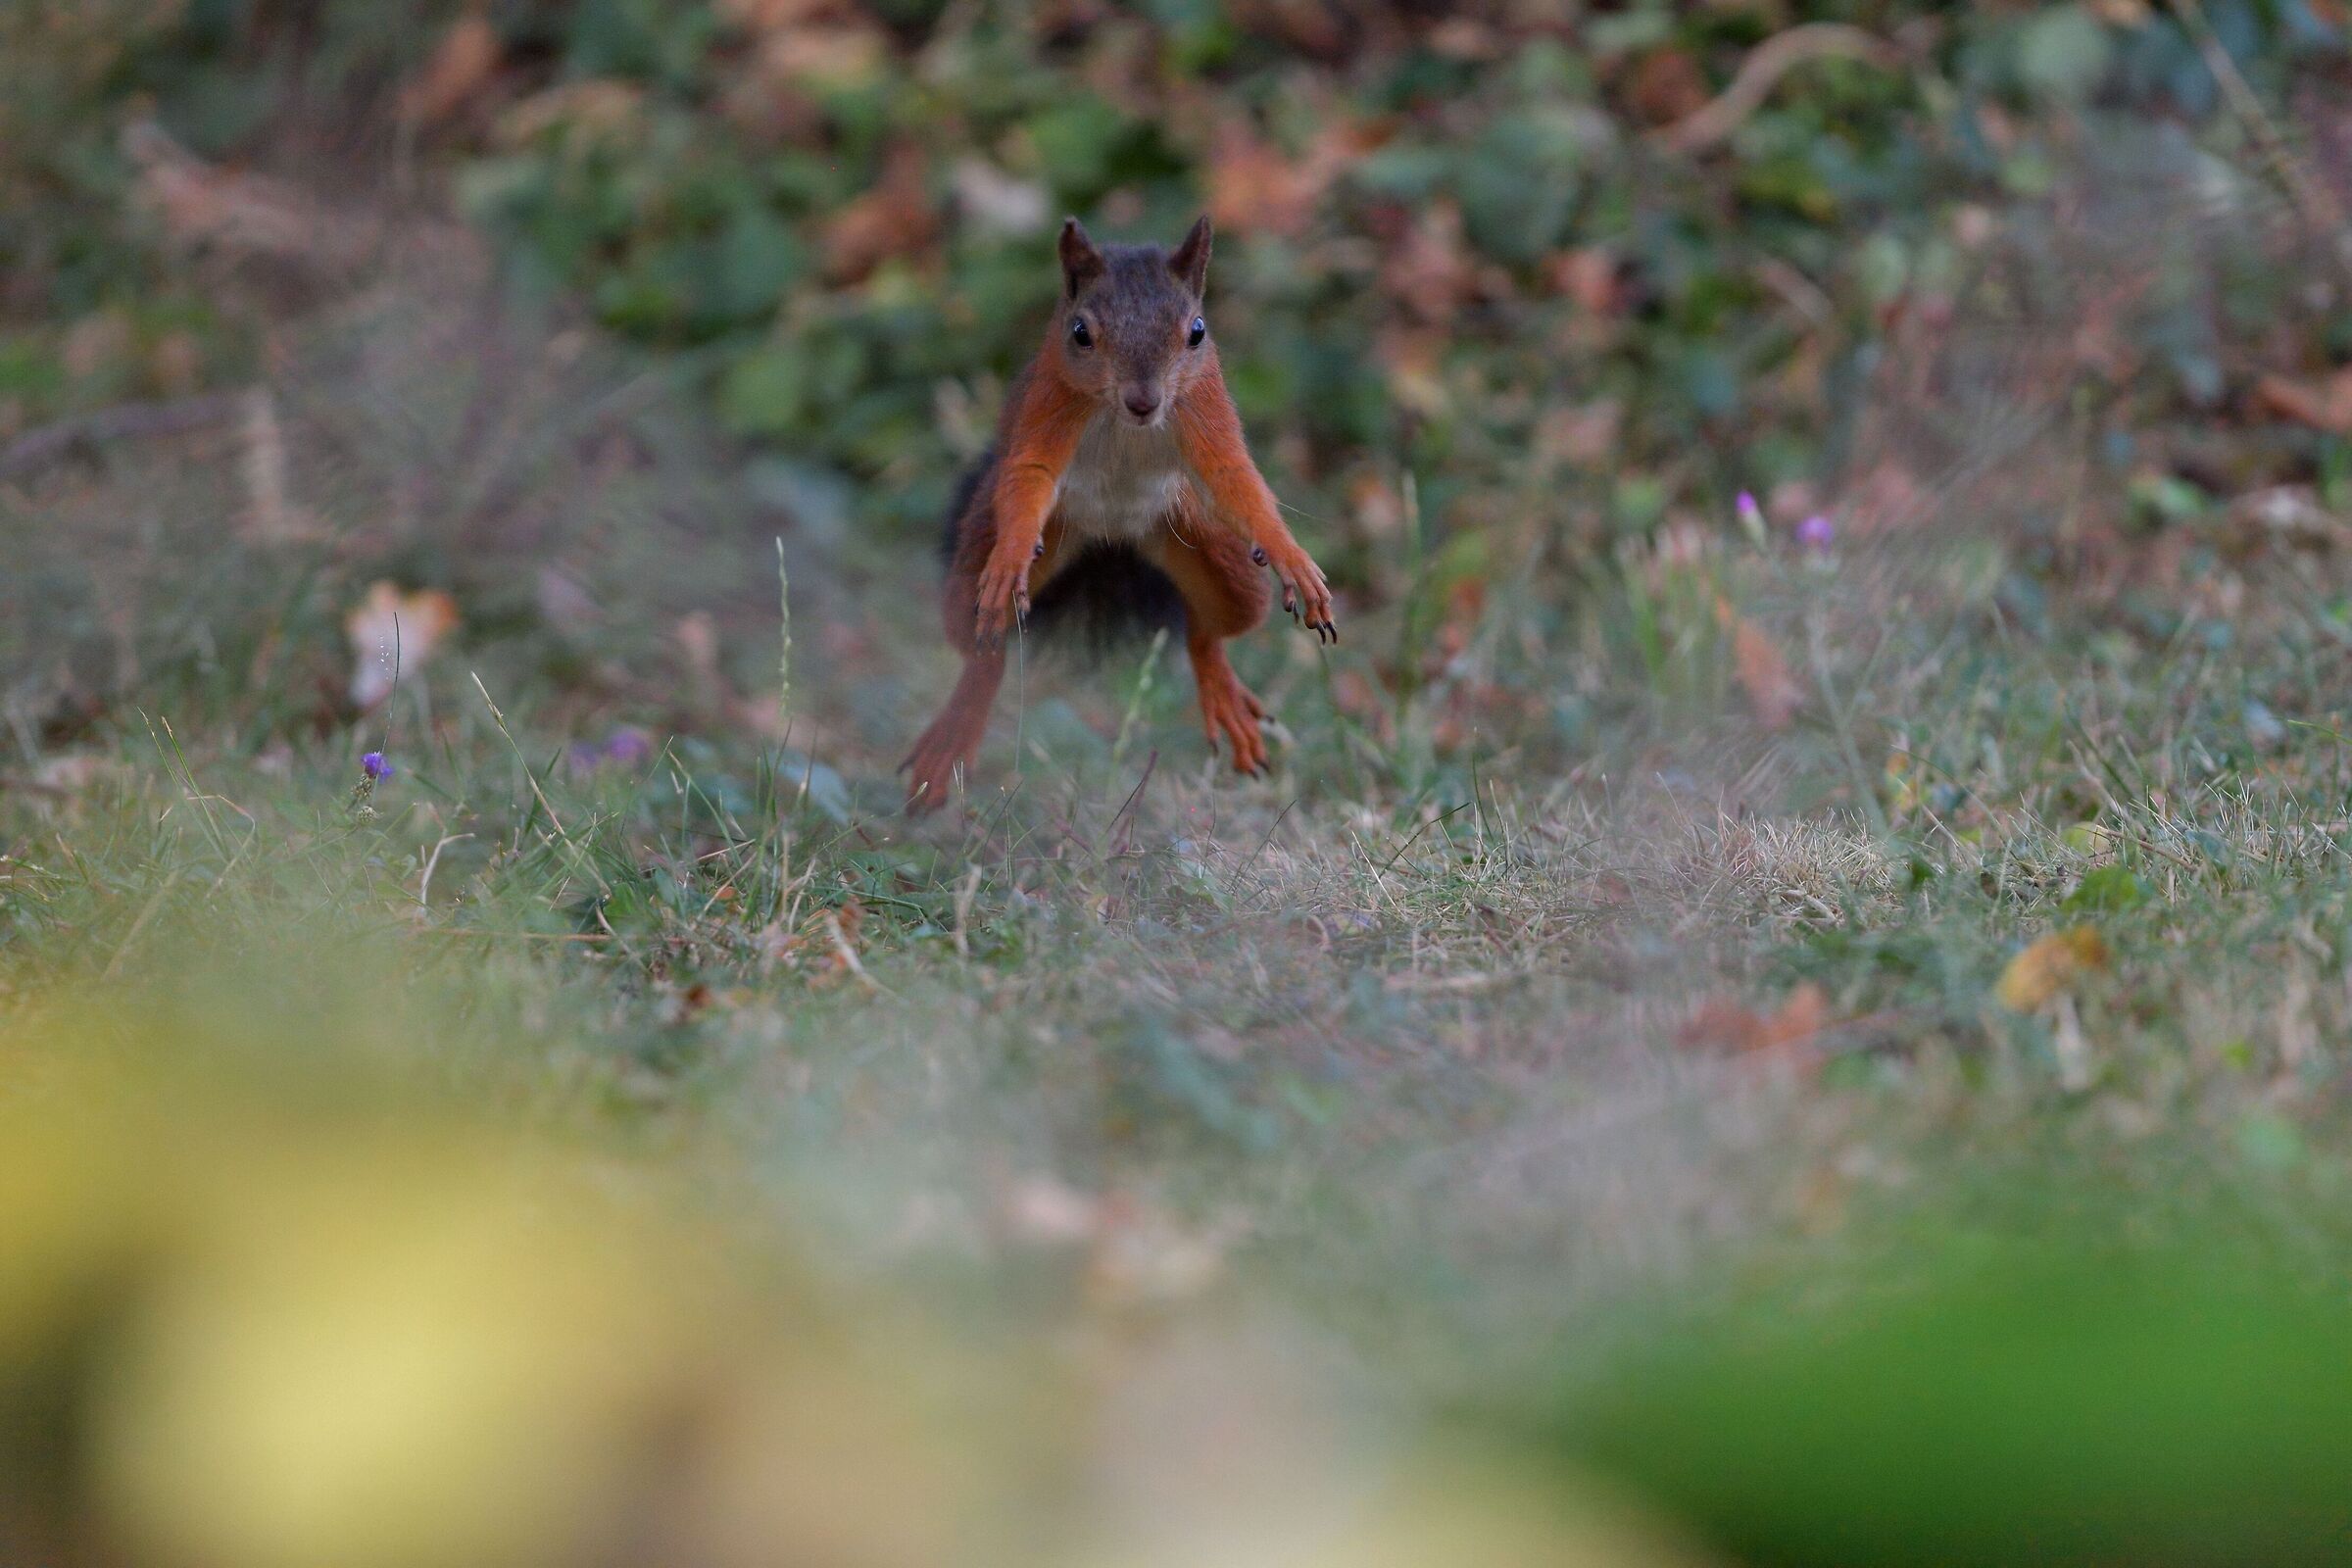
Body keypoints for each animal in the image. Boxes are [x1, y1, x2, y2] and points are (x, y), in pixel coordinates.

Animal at [902, 214, 1336, 814]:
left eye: (1197, 331)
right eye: (1080, 333)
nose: (1144, 400)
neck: (1125, 421)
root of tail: (1111, 537)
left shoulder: (1203, 401)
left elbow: (1233, 477)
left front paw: (1291, 555)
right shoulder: (1051, 399)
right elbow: (1030, 473)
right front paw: (1011, 555)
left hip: (1207, 544)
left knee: (1209, 629)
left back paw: (1220, 687)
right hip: (987, 554)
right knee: (983, 653)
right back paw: (958, 726)